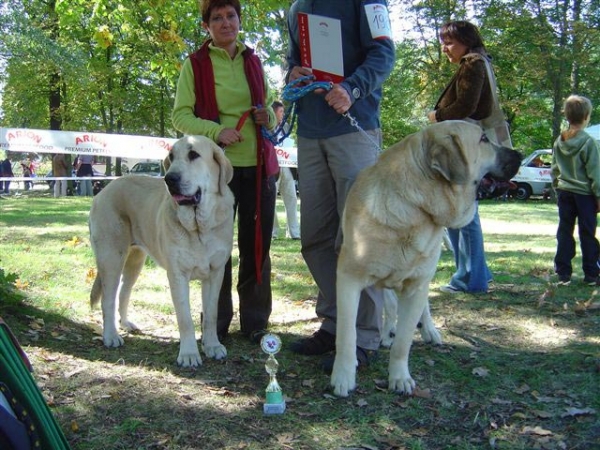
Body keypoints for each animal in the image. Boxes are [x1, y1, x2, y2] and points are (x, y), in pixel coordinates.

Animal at [89, 135, 234, 368]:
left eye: (193, 155)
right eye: (171, 157)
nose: (169, 178)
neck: (199, 227)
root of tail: (104, 189)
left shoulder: (215, 273)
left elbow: (211, 314)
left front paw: (212, 345)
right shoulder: (177, 276)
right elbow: (185, 319)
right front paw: (189, 354)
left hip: (135, 261)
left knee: (124, 292)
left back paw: (126, 323)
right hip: (111, 259)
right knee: (108, 299)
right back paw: (111, 336)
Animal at [330, 120, 524, 398]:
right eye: (484, 139)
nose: (520, 154)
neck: (414, 206)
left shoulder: (416, 286)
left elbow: (404, 341)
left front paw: (399, 377)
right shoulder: (349, 279)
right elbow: (346, 335)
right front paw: (343, 377)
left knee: (421, 308)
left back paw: (429, 331)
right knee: (389, 307)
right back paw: (385, 334)